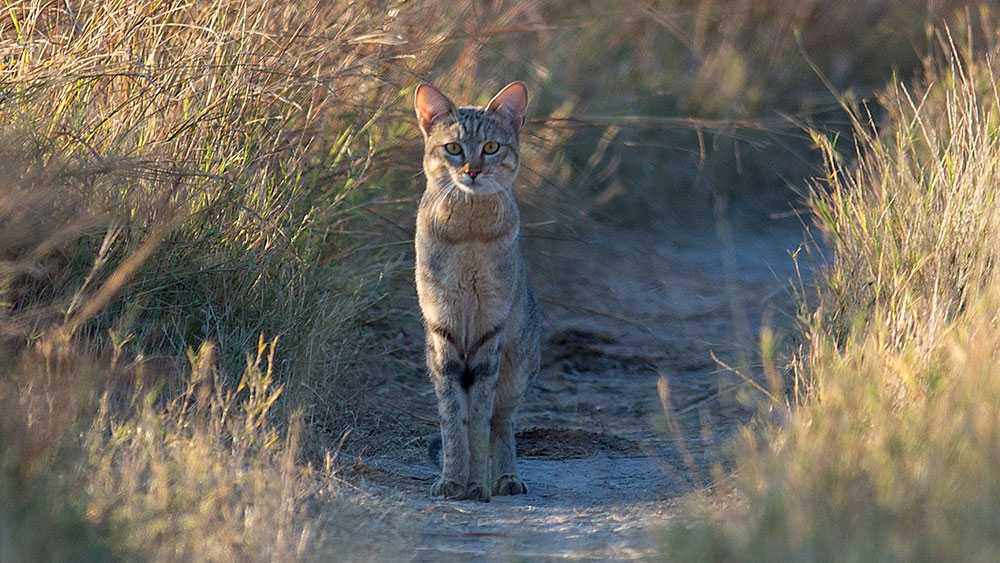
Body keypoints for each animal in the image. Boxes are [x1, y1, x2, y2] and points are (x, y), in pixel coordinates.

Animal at [412, 80, 544, 502]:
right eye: (454, 148)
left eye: (490, 147)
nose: (472, 171)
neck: (469, 232)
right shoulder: (444, 329)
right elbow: (454, 419)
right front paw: (454, 479)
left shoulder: (490, 328)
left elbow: (481, 419)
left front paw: (476, 484)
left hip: (518, 365)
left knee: (503, 421)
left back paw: (504, 477)